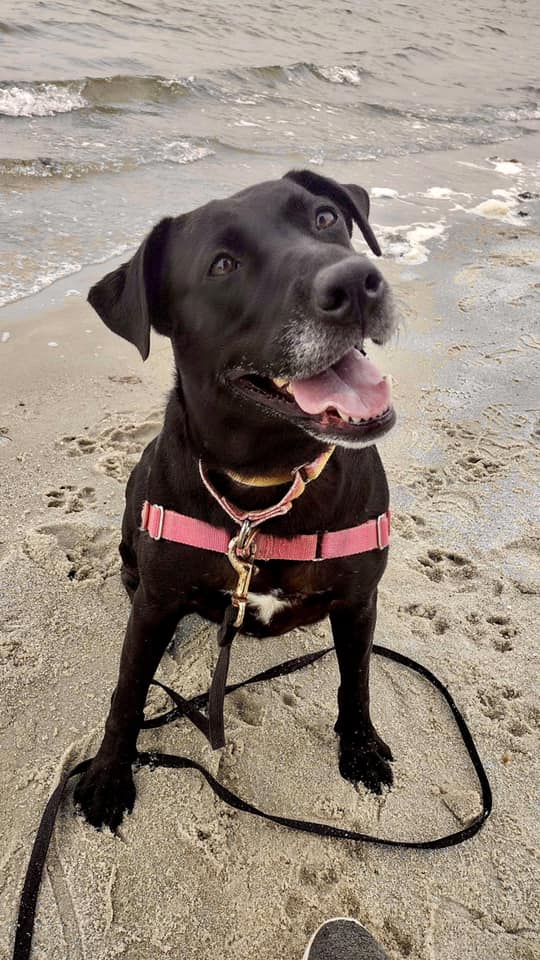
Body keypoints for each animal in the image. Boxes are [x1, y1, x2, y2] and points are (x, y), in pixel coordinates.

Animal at [74, 169, 396, 828]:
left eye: (326, 218)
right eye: (223, 265)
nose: (357, 283)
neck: (267, 482)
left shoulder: (359, 600)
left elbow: (357, 681)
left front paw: (360, 749)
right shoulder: (156, 604)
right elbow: (127, 691)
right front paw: (108, 774)